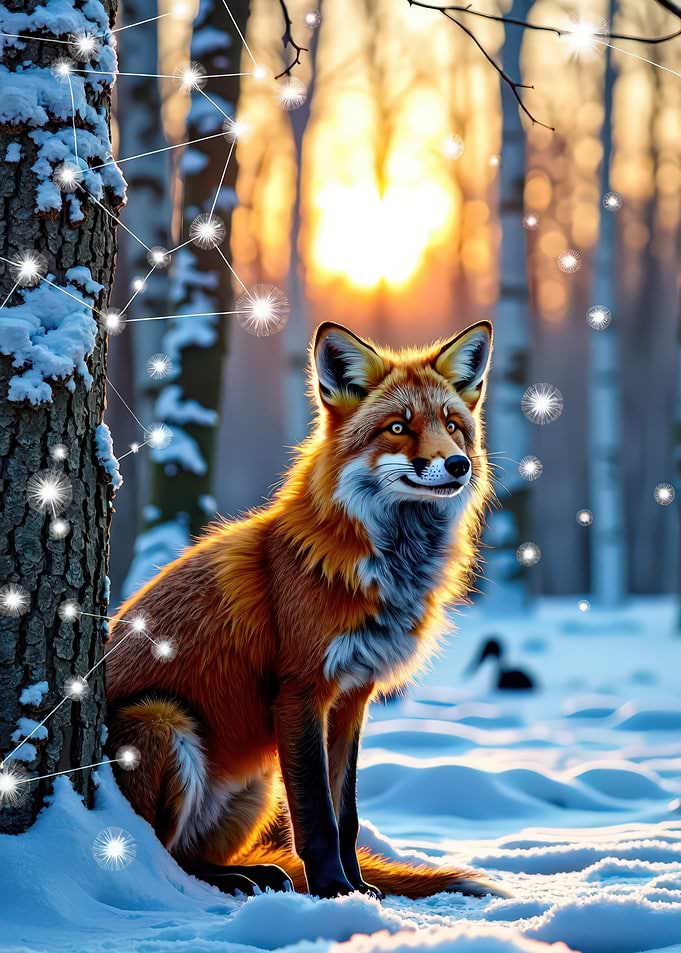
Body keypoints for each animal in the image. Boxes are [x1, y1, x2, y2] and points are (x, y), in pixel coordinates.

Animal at [106, 319, 498, 901]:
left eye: (453, 426)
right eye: (398, 428)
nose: (457, 463)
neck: (385, 568)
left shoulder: (354, 695)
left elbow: (346, 813)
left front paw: (358, 887)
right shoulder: (300, 690)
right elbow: (317, 816)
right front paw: (333, 890)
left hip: (258, 784)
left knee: (189, 855)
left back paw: (253, 875)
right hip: (163, 720)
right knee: (159, 858)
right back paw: (238, 880)